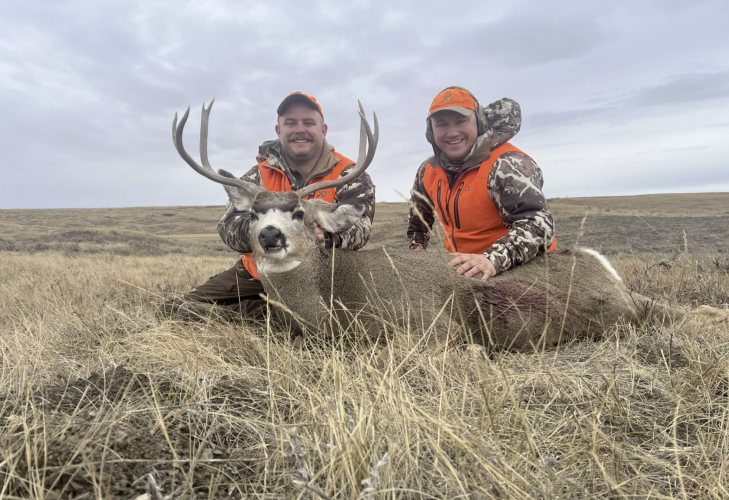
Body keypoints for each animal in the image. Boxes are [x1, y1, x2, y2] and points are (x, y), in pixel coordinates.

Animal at [172, 100, 727, 351]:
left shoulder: (422, 326)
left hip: (596, 312)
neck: (329, 305)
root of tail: (603, 268)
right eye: (251, 214)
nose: (270, 236)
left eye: (300, 214)